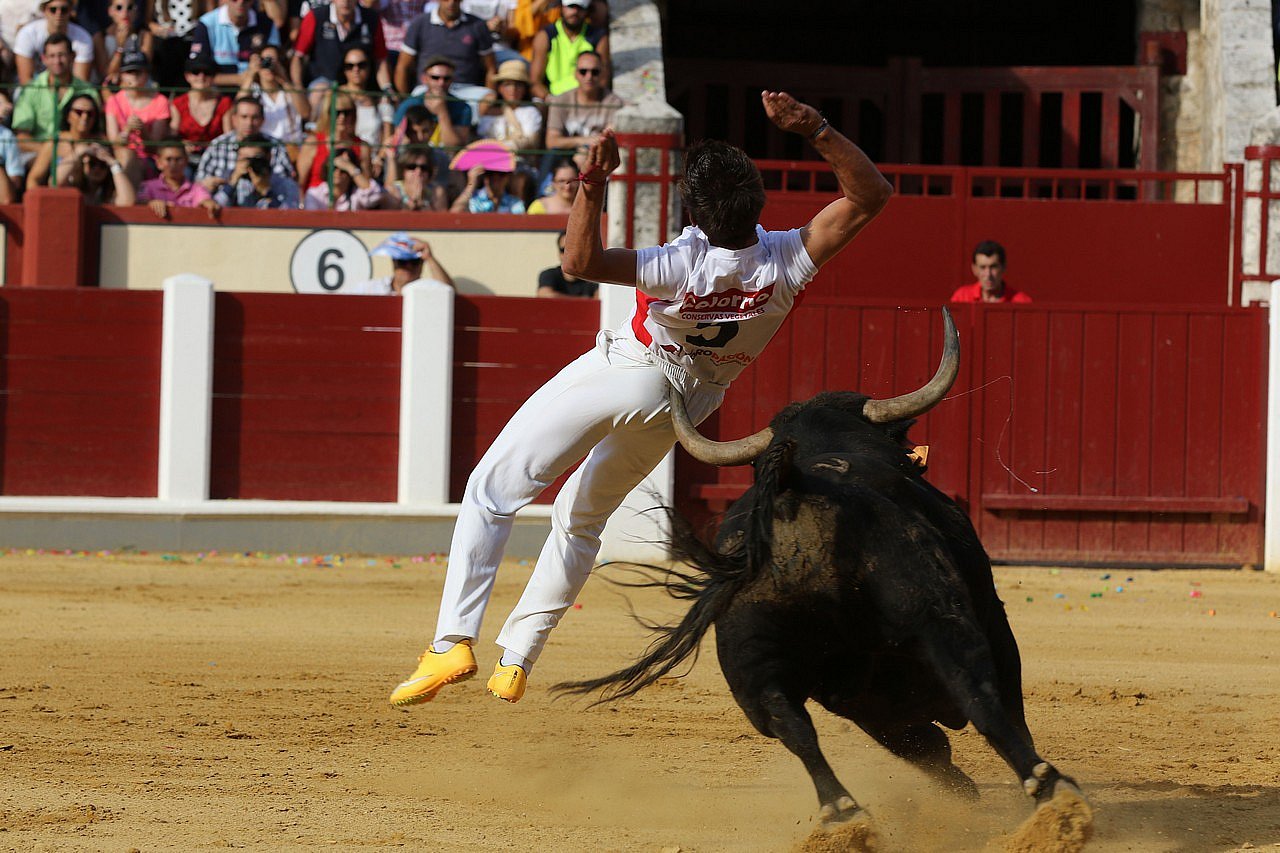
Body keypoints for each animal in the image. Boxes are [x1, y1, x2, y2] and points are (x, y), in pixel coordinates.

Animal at [555, 308, 1092, 851]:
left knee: (792, 726)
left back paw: (844, 815)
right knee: (978, 693)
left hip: (754, 664)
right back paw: (1054, 795)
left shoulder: (863, 698)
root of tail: (790, 492)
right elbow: (998, 710)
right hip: (937, 615)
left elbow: (925, 749)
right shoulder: (985, 625)